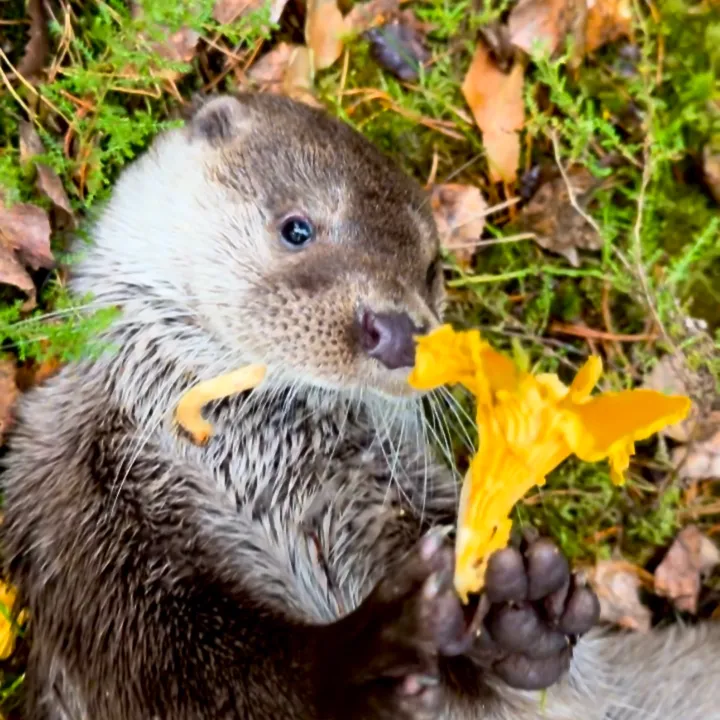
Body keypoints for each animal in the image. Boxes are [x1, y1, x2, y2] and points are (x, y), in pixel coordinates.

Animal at [1, 93, 718, 720]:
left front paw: (522, 612)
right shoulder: (93, 523)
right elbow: (195, 678)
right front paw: (365, 660)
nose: (399, 331)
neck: (252, 451)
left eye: (431, 271)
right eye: (297, 227)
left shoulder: (388, 490)